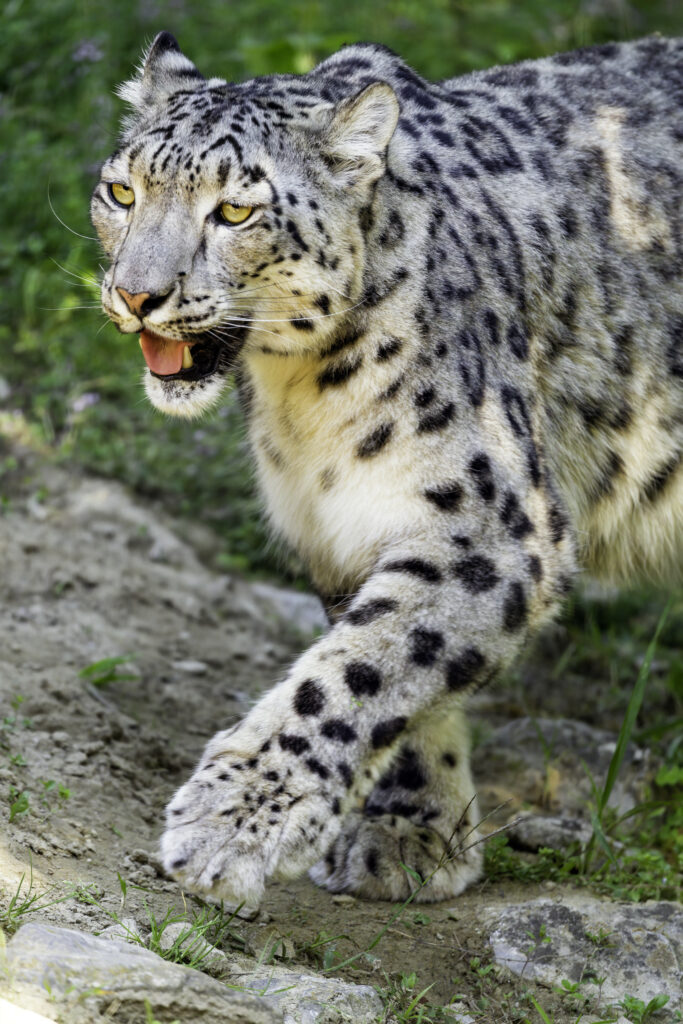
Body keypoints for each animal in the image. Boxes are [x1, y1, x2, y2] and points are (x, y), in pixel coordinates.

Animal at [91, 31, 682, 911]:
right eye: (123, 191)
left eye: (234, 210)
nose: (136, 295)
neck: (301, 399)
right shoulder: (341, 525)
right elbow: (393, 659)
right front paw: (414, 832)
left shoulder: (492, 526)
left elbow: (360, 668)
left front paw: (229, 823)